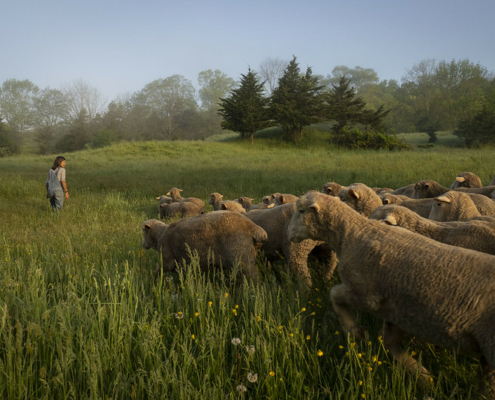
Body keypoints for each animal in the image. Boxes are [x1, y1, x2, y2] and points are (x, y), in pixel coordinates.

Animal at [286, 191, 495, 396]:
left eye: (301, 211)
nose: (288, 233)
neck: (352, 233)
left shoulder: (366, 294)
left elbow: (335, 294)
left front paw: (355, 330)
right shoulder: (395, 311)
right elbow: (389, 344)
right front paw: (423, 376)